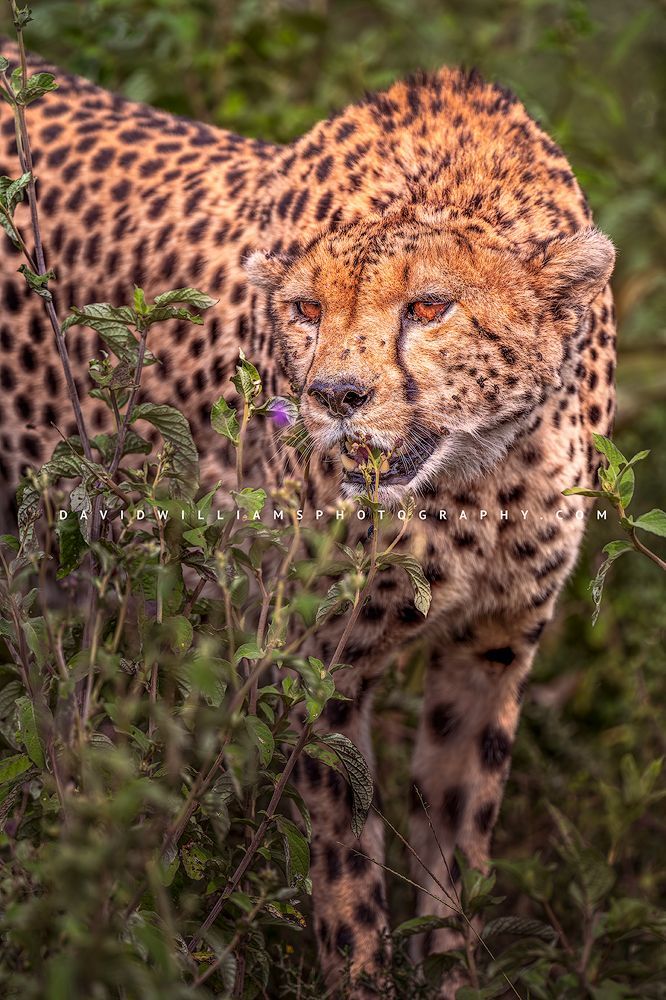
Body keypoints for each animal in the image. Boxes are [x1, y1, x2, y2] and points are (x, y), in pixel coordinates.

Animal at [0, 40, 617, 999]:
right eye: (306, 310)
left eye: (429, 307)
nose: (334, 396)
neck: (478, 478)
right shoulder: (314, 661)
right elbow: (344, 871)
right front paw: (362, 975)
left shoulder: (491, 655)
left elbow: (456, 863)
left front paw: (453, 971)